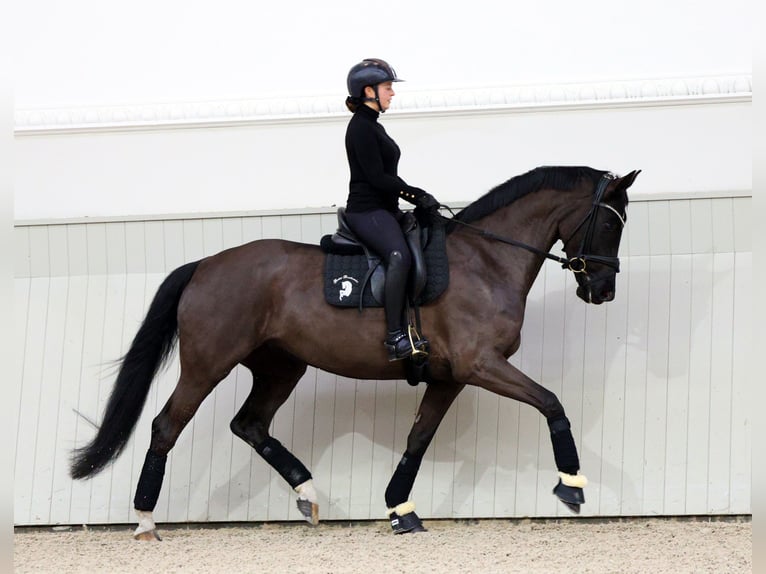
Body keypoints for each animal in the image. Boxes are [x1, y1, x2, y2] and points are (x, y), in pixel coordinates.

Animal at [72, 165, 640, 540]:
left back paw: (308, 495)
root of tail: (206, 264)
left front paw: (401, 509)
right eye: (611, 223)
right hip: (208, 363)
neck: (486, 260)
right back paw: (146, 522)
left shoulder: (451, 376)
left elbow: (418, 439)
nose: (604, 290)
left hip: (281, 367)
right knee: (167, 425)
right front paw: (572, 485)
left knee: (250, 425)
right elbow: (551, 402)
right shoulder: (482, 365)